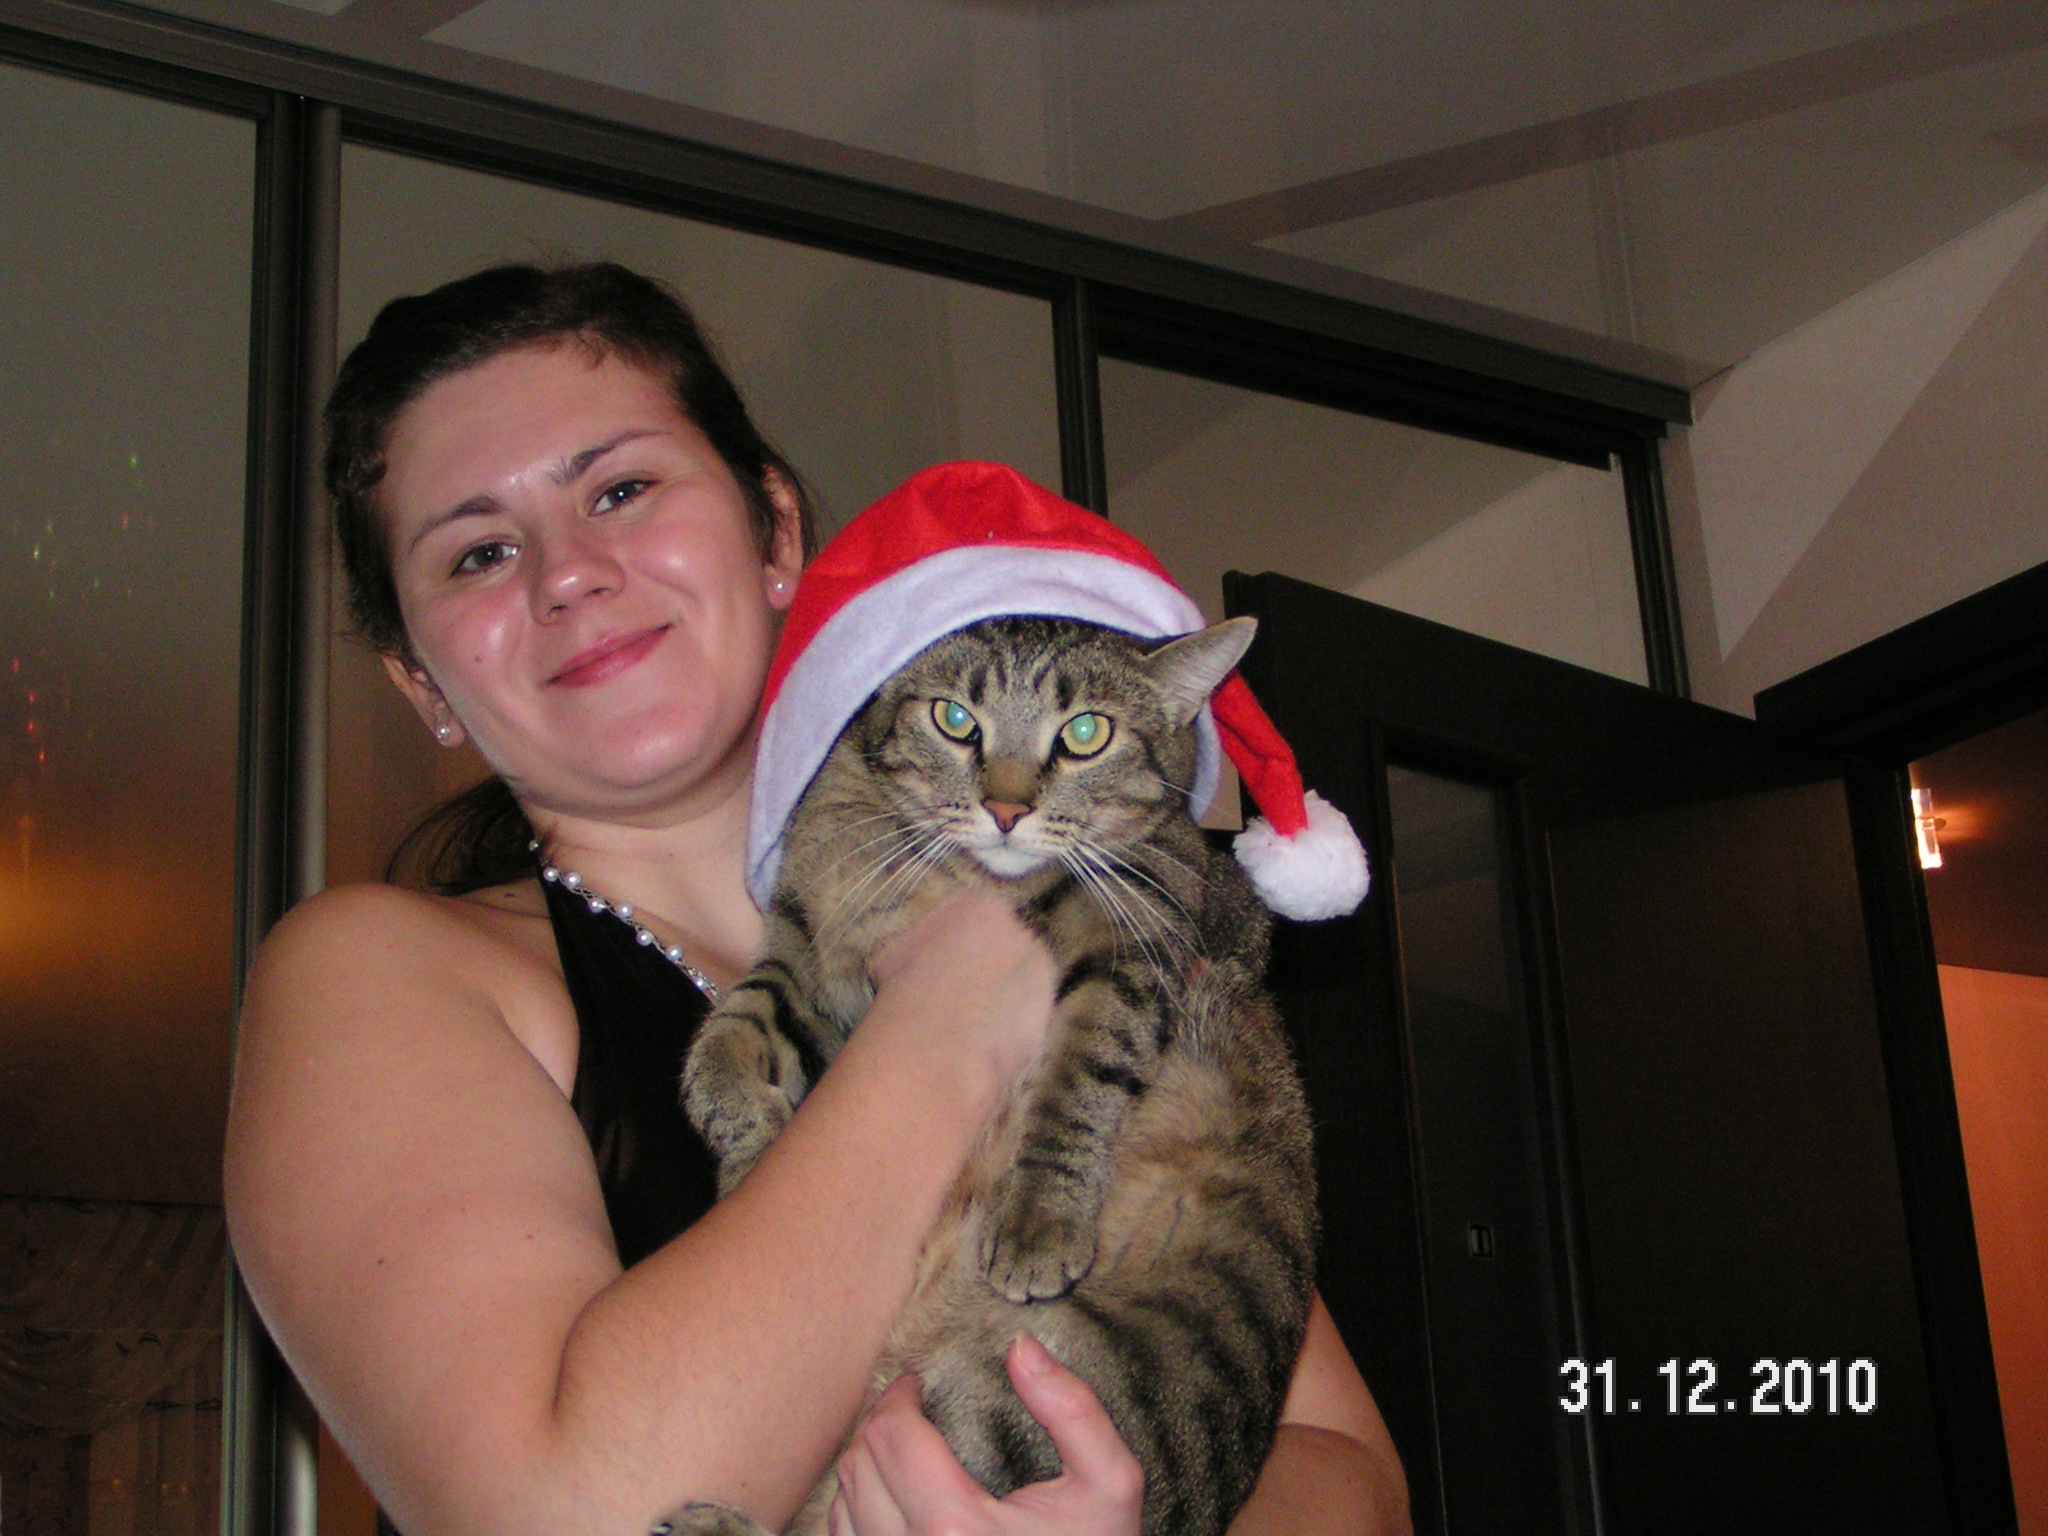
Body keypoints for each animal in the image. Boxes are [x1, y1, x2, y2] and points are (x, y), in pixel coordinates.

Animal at [668, 614, 1318, 1536]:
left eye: (1086, 734)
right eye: (954, 720)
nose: (1007, 810)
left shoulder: (1141, 935)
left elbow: (1079, 1083)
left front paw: (1039, 1227)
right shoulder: (804, 953)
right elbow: (729, 1027)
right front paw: (741, 1132)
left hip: (1013, 1398)